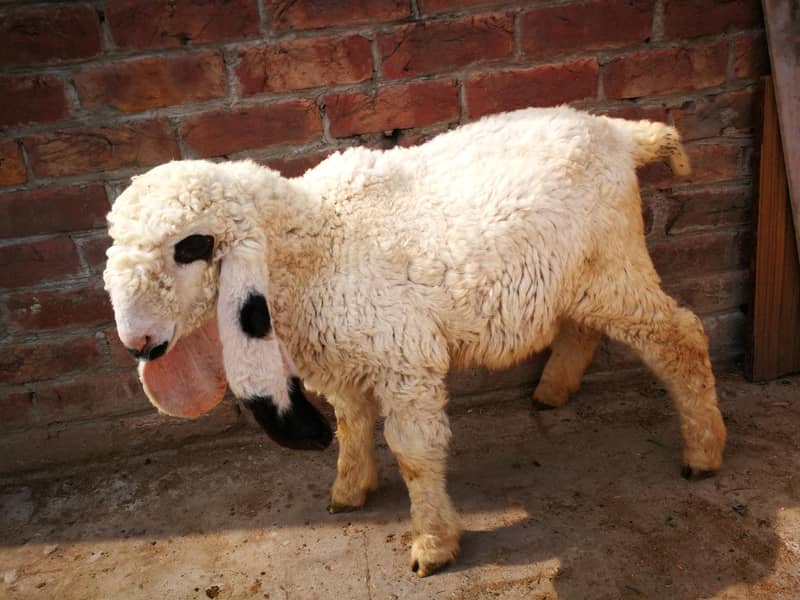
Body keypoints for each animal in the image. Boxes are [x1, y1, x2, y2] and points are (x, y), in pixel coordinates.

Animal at [103, 106, 727, 577]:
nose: (139, 343)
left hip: (615, 267)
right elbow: (352, 424)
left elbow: (413, 452)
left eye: (191, 246)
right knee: (582, 327)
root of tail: (619, 133)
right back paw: (553, 390)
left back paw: (703, 453)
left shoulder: (403, 359)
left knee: (681, 337)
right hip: (577, 274)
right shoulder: (344, 361)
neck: (320, 242)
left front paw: (432, 545)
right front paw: (348, 491)